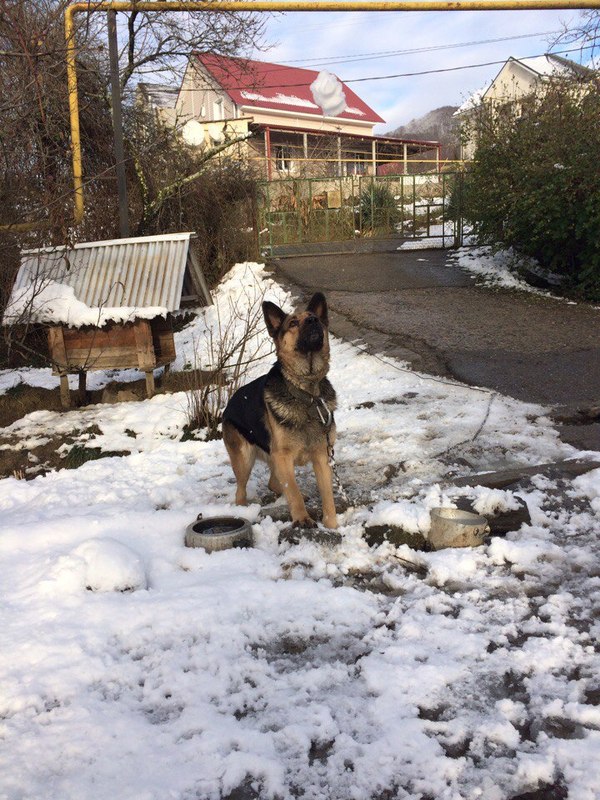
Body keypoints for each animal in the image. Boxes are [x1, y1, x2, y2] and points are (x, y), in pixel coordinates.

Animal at [225, 290, 338, 528]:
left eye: (314, 317)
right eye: (293, 323)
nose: (313, 321)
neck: (307, 394)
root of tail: (228, 404)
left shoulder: (321, 456)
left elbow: (327, 495)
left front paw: (332, 525)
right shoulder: (283, 456)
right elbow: (292, 490)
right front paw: (302, 518)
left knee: (273, 482)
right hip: (244, 459)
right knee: (241, 491)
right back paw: (243, 509)